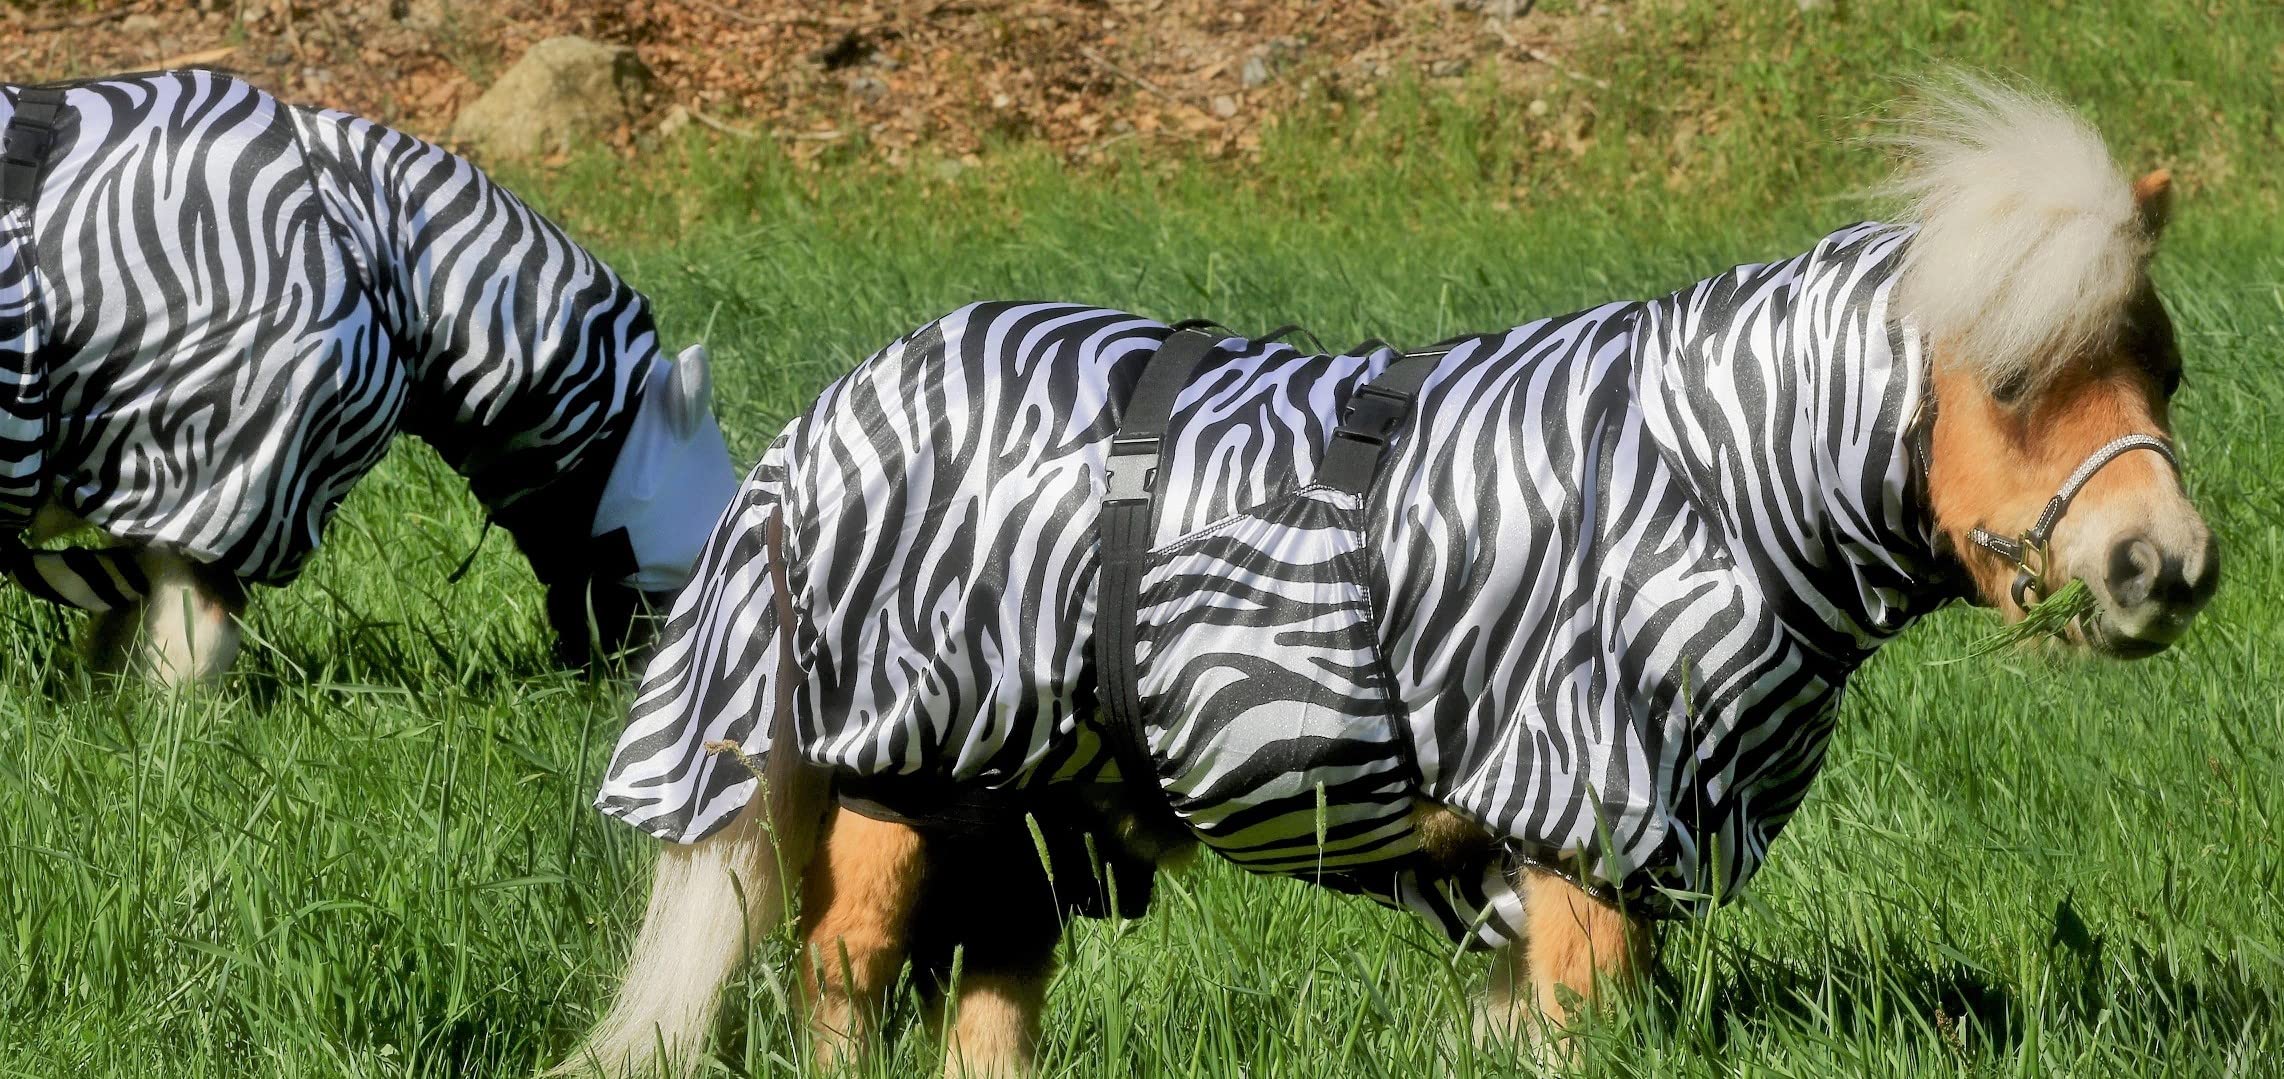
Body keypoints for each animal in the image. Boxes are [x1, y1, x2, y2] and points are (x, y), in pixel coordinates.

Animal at [0, 71, 737, 682]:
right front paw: (175, 744)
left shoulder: (161, 490)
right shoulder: (223, 481)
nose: (629, 690)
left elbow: (121, 638)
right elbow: (188, 651)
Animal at [570, 79, 2217, 1075]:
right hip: (902, 776)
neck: (1691, 482)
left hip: (1031, 807)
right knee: (841, 978)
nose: (2165, 566)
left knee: (992, 988)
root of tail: (842, 404)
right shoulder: (1586, 836)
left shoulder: (1560, 867)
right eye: (2015, 378)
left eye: (2163, 369)